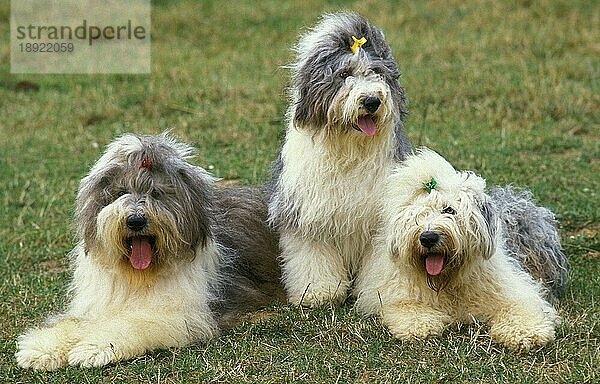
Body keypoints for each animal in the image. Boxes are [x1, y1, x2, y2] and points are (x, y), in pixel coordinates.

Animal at [15, 134, 284, 368]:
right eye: (121, 192)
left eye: (156, 193)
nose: (135, 220)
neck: (138, 276)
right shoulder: (97, 304)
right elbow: (74, 322)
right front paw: (42, 348)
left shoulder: (183, 314)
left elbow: (132, 323)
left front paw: (93, 348)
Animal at [268, 12, 412, 306]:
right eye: (344, 74)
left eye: (376, 72)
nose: (371, 101)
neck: (349, 150)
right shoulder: (307, 214)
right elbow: (313, 257)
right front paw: (318, 292)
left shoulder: (379, 222)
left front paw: (377, 295)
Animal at [354, 148, 560, 350]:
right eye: (417, 214)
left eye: (449, 210)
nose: (428, 237)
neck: (446, 281)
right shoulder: (394, 292)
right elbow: (406, 306)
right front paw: (420, 325)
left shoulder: (509, 289)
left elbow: (520, 306)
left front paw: (526, 333)